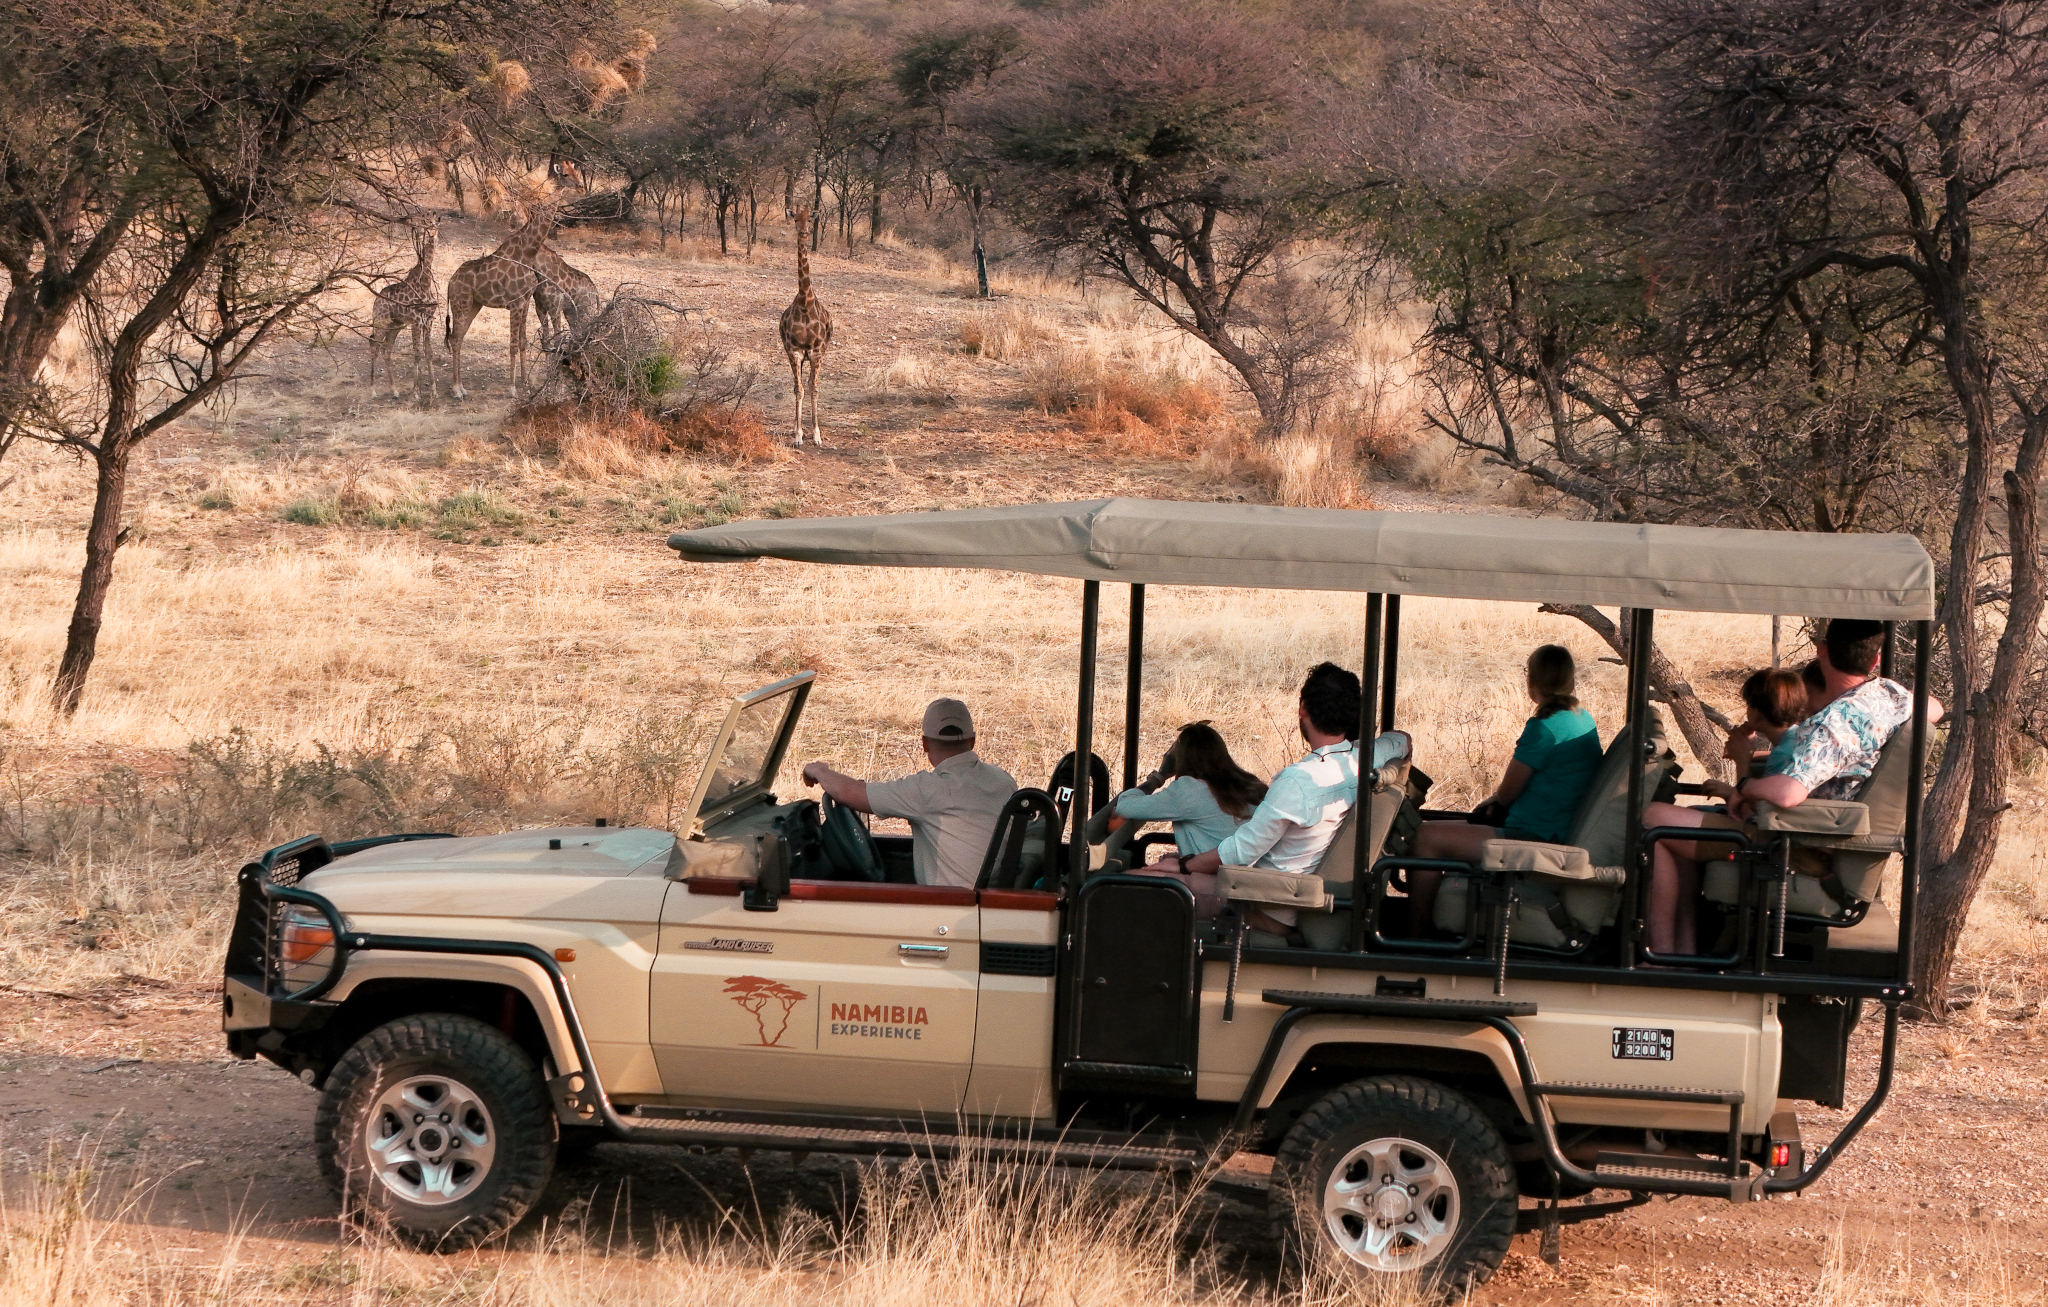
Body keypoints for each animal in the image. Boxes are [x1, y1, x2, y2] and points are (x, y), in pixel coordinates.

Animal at [367, 218, 440, 400]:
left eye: (435, 225)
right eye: (425, 225)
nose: (431, 235)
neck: (425, 283)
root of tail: (376, 301)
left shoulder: (428, 320)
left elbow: (429, 352)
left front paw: (434, 391)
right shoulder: (416, 320)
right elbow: (417, 353)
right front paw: (416, 393)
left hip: (395, 325)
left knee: (386, 350)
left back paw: (394, 391)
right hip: (381, 321)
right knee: (374, 347)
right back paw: (372, 390)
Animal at [444, 202, 557, 401]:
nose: (556, 232)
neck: (528, 253)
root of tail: (451, 282)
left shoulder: (525, 302)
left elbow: (523, 341)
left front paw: (526, 381)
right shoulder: (515, 303)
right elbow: (513, 345)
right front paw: (512, 389)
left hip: (473, 306)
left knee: (457, 338)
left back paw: (461, 388)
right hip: (461, 304)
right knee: (455, 339)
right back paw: (457, 389)